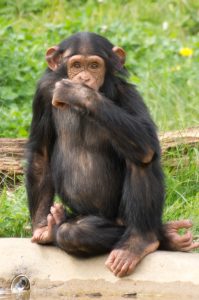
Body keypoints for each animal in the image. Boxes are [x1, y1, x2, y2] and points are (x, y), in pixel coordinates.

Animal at [26, 32, 197, 276]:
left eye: (94, 65)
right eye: (76, 65)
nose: (84, 78)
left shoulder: (127, 93)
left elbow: (146, 140)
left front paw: (79, 93)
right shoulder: (42, 92)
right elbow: (41, 154)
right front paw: (41, 226)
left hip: (123, 218)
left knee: (140, 158)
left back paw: (142, 241)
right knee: (74, 232)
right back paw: (54, 225)